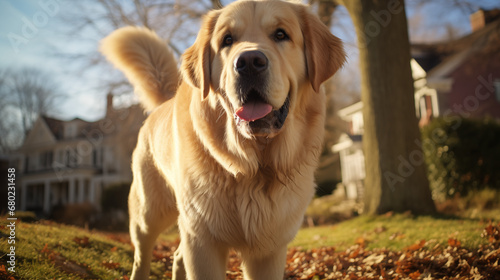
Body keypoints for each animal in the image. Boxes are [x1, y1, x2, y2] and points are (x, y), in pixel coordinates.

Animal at [101, 0, 344, 278]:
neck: (252, 168)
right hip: (150, 213)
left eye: (281, 34)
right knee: (142, 255)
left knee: (177, 256)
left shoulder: (269, 250)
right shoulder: (203, 240)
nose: (249, 62)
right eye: (227, 40)